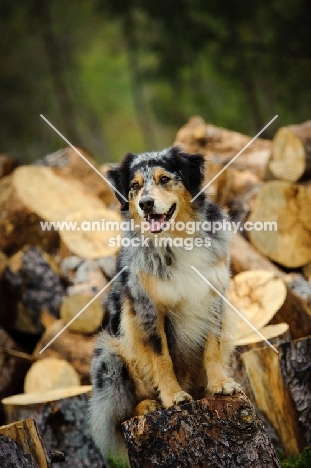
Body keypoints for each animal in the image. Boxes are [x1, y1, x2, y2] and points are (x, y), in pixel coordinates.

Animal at [89, 146, 240, 460]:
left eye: (164, 179)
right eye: (135, 186)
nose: (146, 204)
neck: (177, 238)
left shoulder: (213, 298)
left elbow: (213, 348)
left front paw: (220, 384)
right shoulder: (148, 309)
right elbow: (162, 358)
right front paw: (173, 396)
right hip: (110, 356)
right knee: (117, 415)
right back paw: (151, 404)